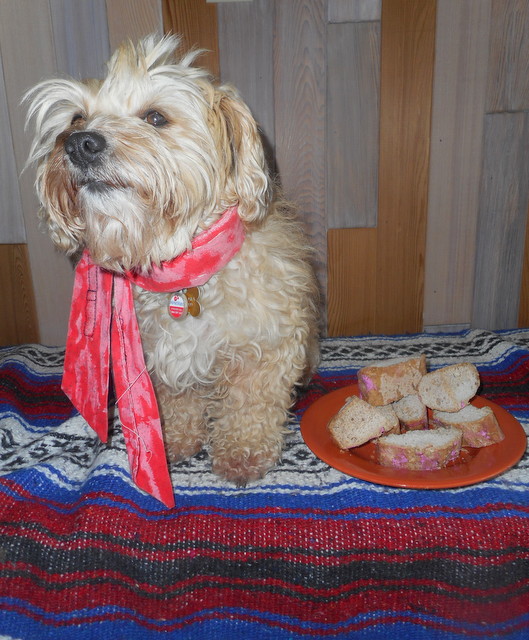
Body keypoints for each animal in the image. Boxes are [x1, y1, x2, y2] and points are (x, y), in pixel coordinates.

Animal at [24, 35, 318, 488]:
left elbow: (249, 409)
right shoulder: (161, 361)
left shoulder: (266, 350)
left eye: (155, 117)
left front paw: (242, 453)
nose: (78, 143)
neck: (184, 276)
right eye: (76, 117)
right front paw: (172, 443)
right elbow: (177, 405)